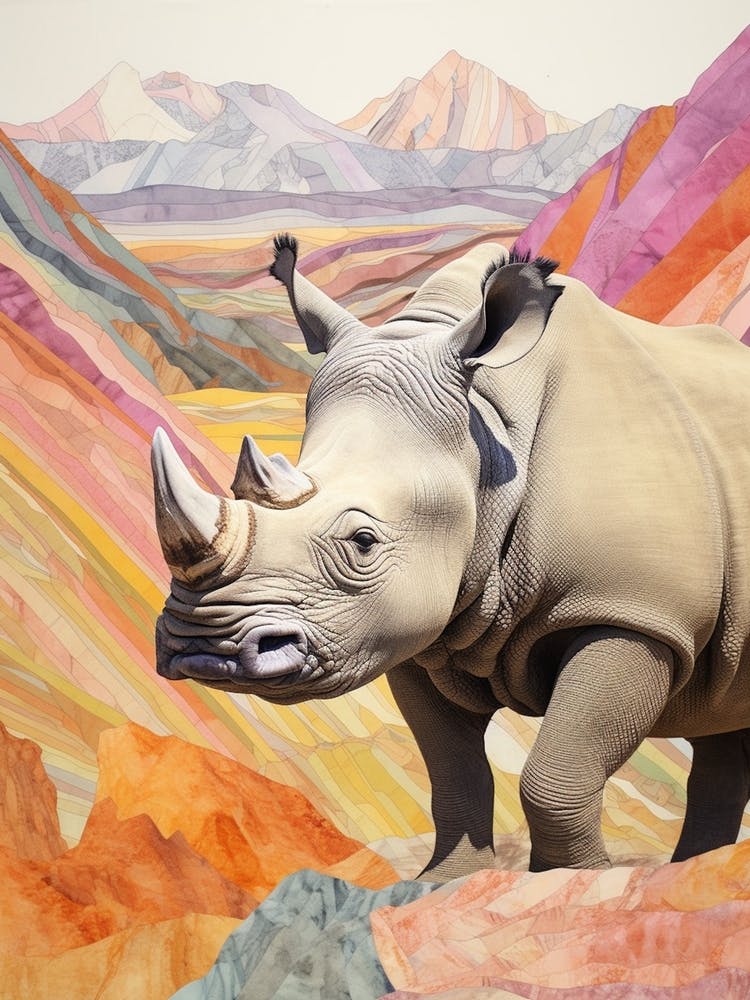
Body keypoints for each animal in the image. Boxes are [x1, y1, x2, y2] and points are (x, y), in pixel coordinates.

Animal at [152, 235, 750, 880]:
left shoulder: (634, 611)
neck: (490, 435)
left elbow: (558, 775)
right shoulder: (413, 630)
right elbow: (452, 772)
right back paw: (700, 868)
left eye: (362, 543)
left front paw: (579, 878)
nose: (201, 645)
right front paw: (449, 880)